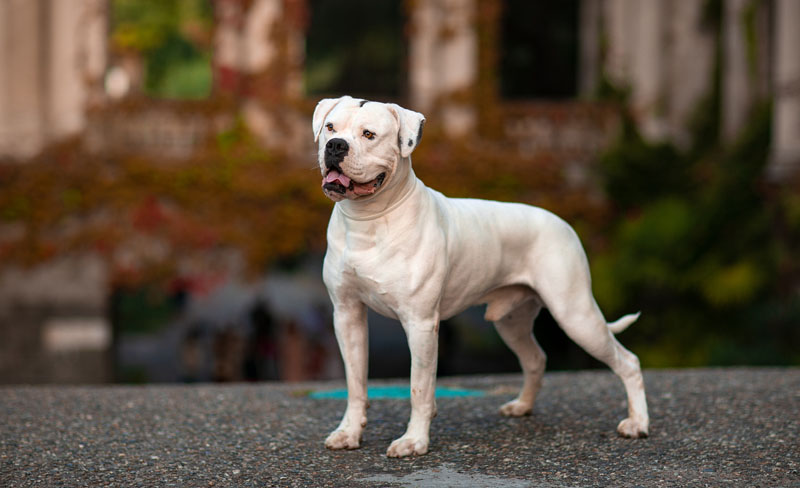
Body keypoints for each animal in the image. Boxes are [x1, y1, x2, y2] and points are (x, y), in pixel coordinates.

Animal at [314, 96, 648, 458]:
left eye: (369, 134)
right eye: (330, 127)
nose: (335, 145)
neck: (369, 220)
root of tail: (562, 222)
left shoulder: (420, 324)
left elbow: (419, 387)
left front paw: (414, 441)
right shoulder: (347, 316)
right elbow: (355, 383)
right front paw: (349, 432)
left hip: (576, 315)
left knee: (628, 361)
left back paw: (637, 424)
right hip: (512, 322)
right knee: (536, 358)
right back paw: (522, 406)